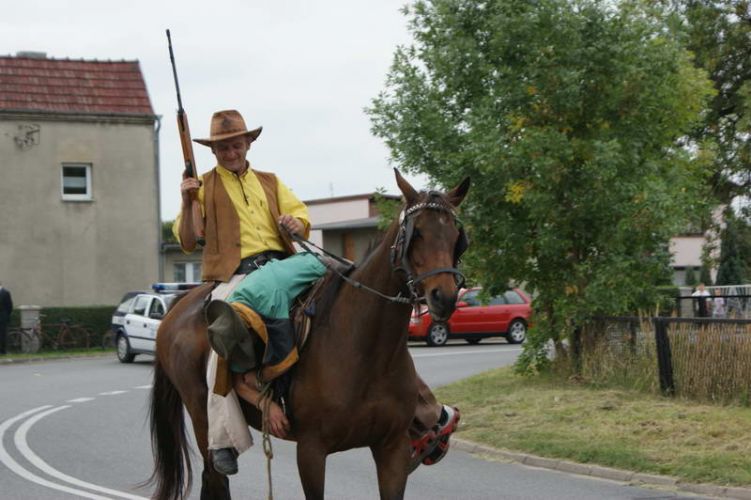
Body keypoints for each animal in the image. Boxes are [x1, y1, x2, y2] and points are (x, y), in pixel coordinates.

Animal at [148, 170, 470, 498]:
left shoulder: (391, 450)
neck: (366, 351)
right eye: (417, 234)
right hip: (202, 417)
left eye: (456, 237)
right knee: (215, 475)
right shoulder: (311, 450)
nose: (444, 297)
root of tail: (178, 306)